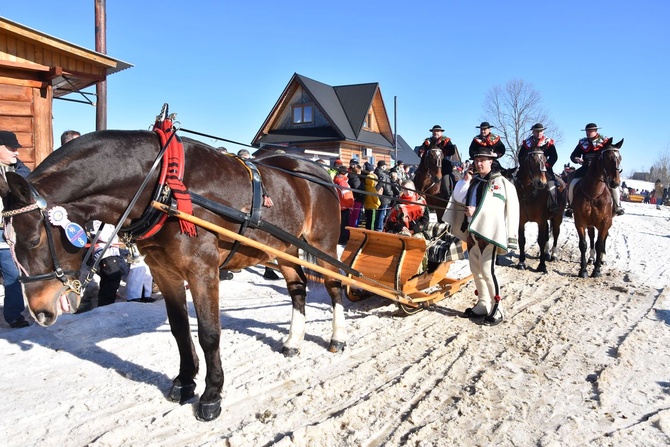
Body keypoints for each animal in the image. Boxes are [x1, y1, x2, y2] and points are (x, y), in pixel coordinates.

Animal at [0, 129, 346, 420]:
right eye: (8, 240)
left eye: (34, 239)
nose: (40, 312)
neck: (164, 186)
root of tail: (314, 170)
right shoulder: (164, 271)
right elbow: (180, 330)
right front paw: (185, 382)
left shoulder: (203, 271)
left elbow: (209, 334)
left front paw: (211, 394)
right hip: (283, 248)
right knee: (298, 286)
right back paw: (293, 340)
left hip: (322, 244)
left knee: (334, 285)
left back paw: (337, 337)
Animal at [572, 138, 624, 278]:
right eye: (607, 157)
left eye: (620, 158)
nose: (615, 182)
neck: (593, 193)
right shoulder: (580, 222)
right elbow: (583, 244)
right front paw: (583, 270)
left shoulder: (605, 223)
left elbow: (600, 244)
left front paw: (597, 270)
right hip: (590, 223)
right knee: (591, 238)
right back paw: (591, 258)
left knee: (604, 239)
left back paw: (601, 260)